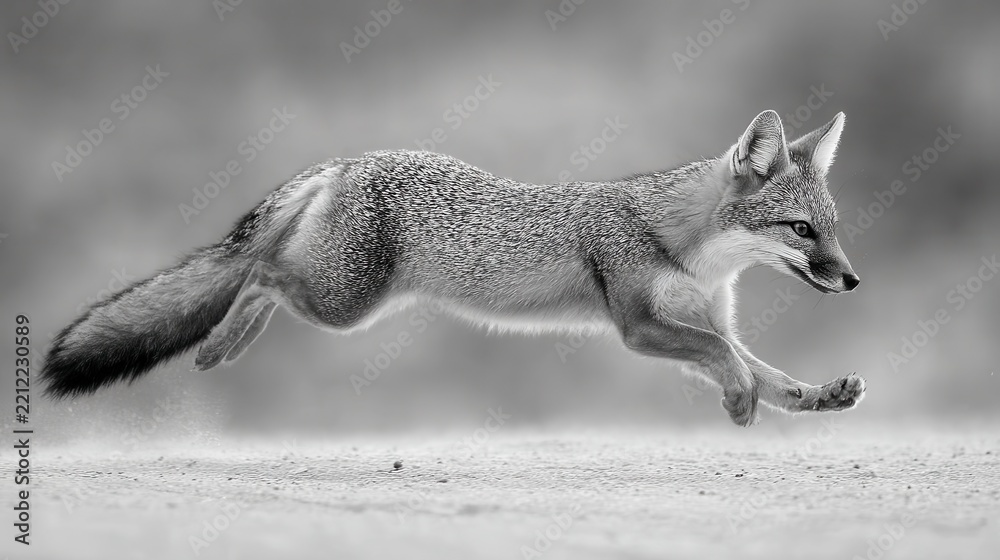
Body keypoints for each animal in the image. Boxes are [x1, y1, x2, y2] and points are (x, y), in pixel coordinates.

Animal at [42, 109, 865, 426]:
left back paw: (228, 344)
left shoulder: (697, 319)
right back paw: (218, 346)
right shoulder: (637, 326)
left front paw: (813, 395)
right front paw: (740, 400)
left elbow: (755, 363)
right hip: (345, 302)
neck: (688, 247)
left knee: (261, 271)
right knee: (258, 274)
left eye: (832, 231)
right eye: (800, 231)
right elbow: (725, 354)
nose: (854, 281)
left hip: (339, 293)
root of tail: (348, 160)